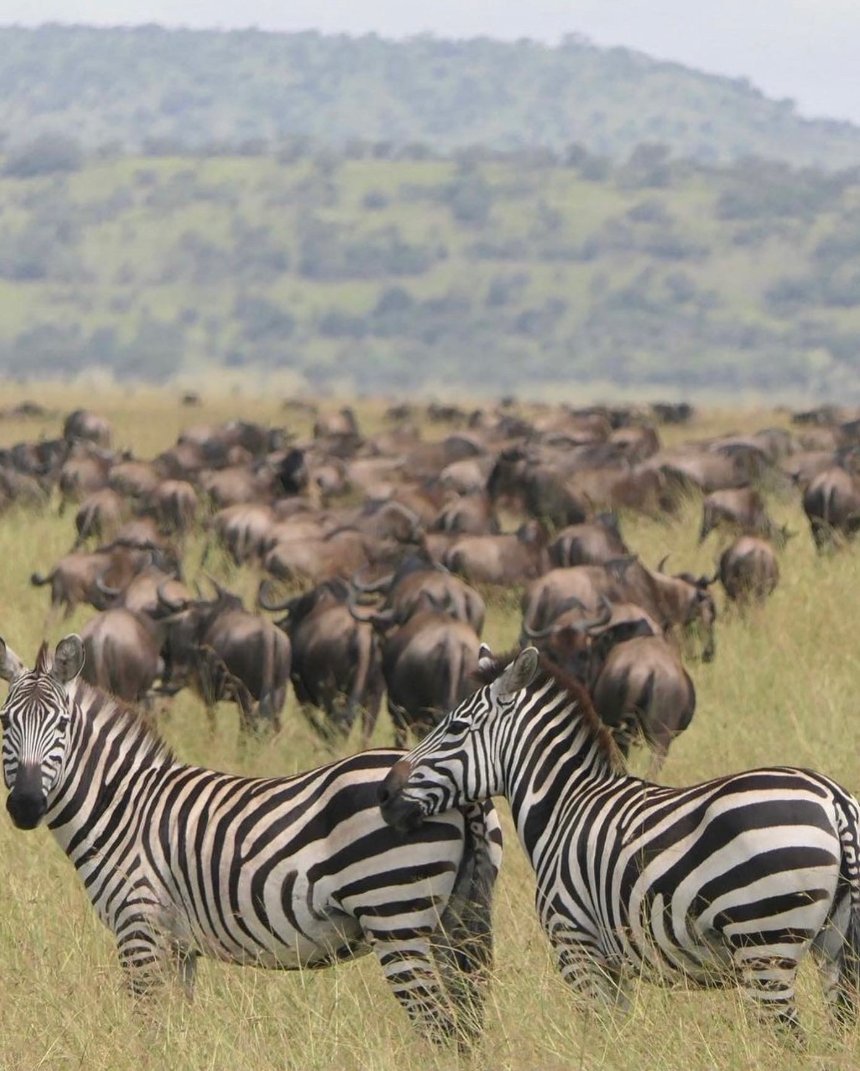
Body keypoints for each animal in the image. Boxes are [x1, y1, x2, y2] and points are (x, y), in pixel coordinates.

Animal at [0, 634, 502, 1045]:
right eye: (5, 723)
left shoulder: (139, 928)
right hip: (455, 922)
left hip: (394, 912)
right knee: (465, 1025)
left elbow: (148, 1029)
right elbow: (175, 1029)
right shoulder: (179, 945)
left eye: (61, 725)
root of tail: (462, 791)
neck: (124, 807)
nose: (24, 804)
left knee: (440, 1027)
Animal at [379, 645, 860, 1032]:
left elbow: (598, 1036)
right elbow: (616, 1036)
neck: (564, 805)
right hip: (835, 948)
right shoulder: (614, 963)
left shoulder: (577, 946)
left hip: (764, 943)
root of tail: (833, 801)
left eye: (455, 728)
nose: (384, 794)